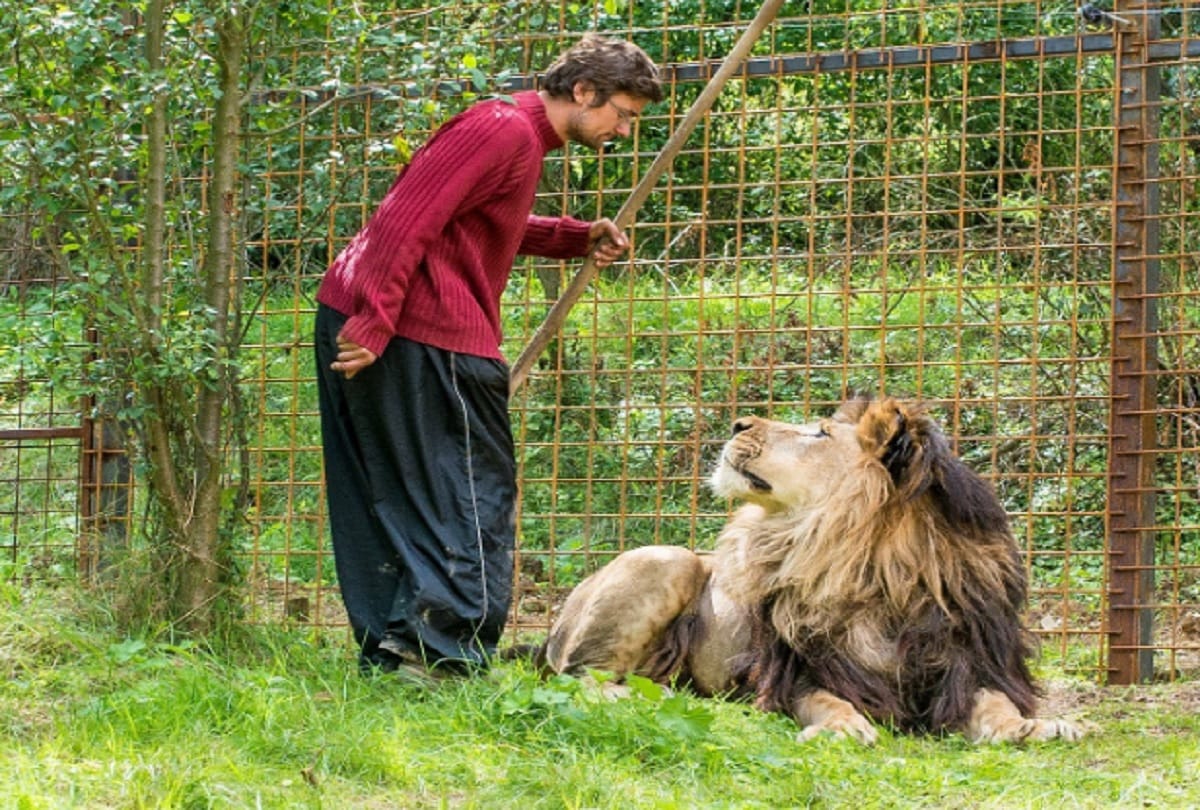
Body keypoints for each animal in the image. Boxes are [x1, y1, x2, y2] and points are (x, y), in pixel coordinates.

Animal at [534, 397, 1086, 745]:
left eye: (819, 433)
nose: (737, 424)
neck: (875, 570)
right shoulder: (802, 671)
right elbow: (828, 702)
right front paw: (845, 729)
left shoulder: (970, 664)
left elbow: (997, 705)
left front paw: (1032, 729)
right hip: (666, 559)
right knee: (576, 678)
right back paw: (656, 697)